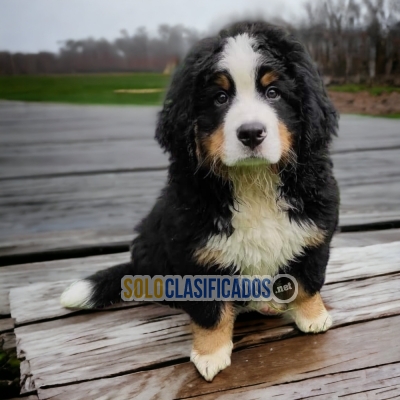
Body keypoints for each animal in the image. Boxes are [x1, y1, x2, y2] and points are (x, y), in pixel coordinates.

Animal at [61, 21, 340, 382]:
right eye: (220, 98)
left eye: (273, 93)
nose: (251, 133)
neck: (252, 182)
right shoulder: (194, 252)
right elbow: (210, 312)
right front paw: (210, 355)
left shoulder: (314, 229)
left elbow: (308, 279)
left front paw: (313, 317)